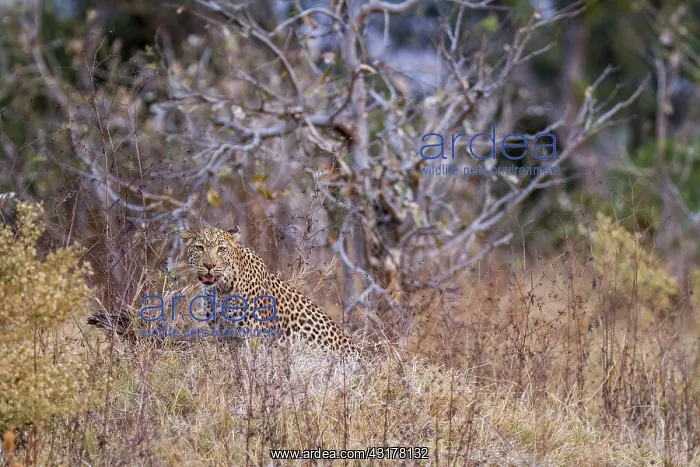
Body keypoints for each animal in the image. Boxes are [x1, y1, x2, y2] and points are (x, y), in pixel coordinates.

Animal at [178, 226, 359, 356]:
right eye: (199, 247)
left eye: (221, 249)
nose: (209, 265)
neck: (220, 289)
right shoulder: (222, 333)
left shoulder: (253, 335)